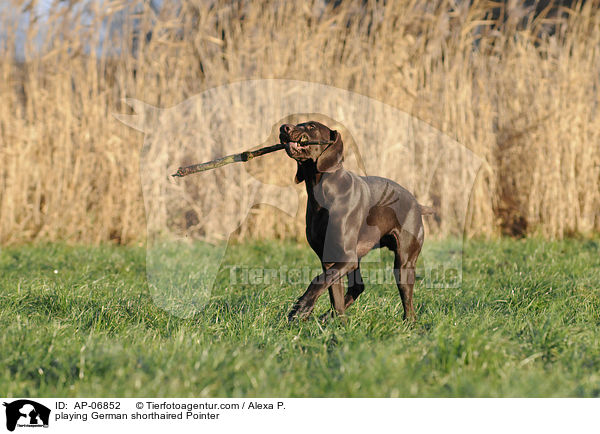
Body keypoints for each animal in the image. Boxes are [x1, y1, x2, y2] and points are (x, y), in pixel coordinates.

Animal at [280, 119, 432, 322]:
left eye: (311, 126)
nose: (283, 127)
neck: (323, 193)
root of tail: (417, 204)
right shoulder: (329, 260)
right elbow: (333, 294)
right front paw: (338, 324)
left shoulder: (347, 257)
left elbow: (317, 281)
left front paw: (302, 306)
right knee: (357, 287)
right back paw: (328, 317)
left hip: (404, 264)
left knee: (408, 306)